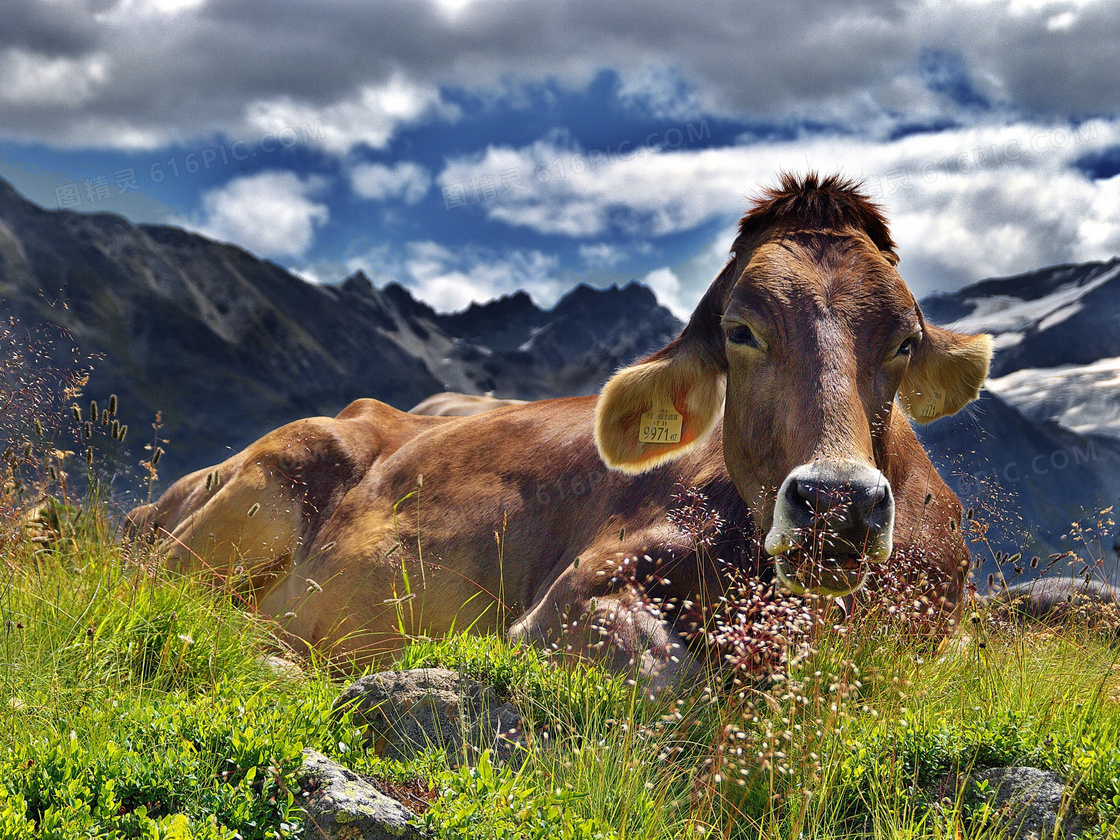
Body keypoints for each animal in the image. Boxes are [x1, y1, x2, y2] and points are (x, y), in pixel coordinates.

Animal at [127, 174, 994, 694]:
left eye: (904, 339)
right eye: (741, 330)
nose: (836, 503)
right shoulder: (571, 598)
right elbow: (674, 679)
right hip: (266, 482)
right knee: (170, 595)